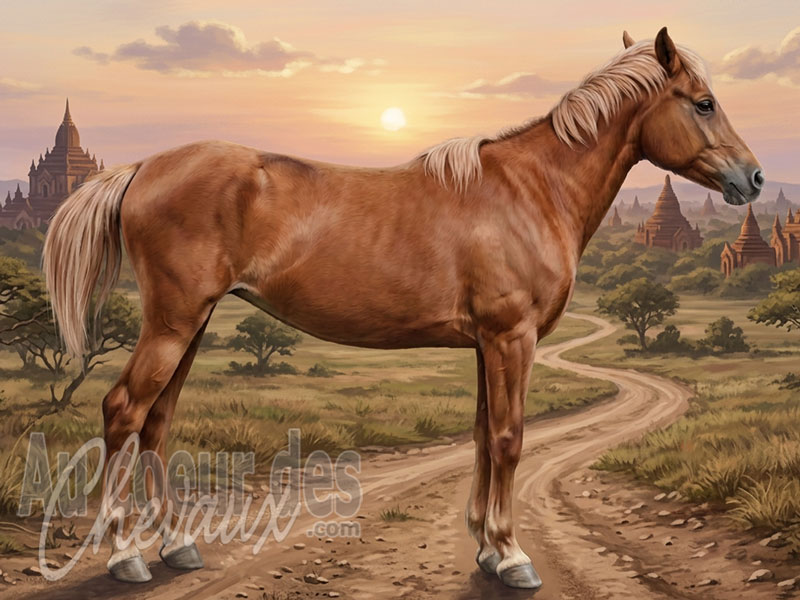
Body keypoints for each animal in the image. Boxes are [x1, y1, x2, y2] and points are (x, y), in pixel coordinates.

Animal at [42, 27, 762, 589]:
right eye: (703, 103)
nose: (752, 178)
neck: (532, 190)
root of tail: (142, 167)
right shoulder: (512, 337)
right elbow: (509, 438)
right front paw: (513, 556)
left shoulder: (488, 344)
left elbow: (482, 435)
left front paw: (485, 547)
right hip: (173, 322)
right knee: (124, 411)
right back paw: (127, 556)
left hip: (190, 325)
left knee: (158, 422)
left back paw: (176, 546)